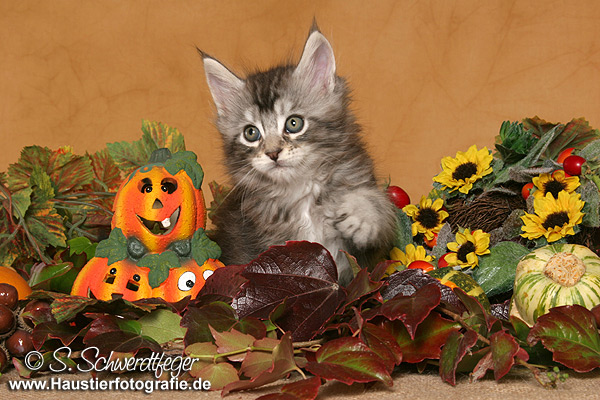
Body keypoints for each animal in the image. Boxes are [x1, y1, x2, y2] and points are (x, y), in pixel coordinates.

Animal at [201, 25, 397, 285]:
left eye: (294, 123)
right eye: (251, 133)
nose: (273, 153)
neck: (301, 192)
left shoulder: (368, 255)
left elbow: (379, 205)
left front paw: (362, 216)